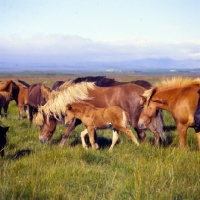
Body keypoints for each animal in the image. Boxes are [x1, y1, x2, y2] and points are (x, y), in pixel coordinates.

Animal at [34, 79, 166, 147]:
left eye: (42, 124)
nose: (41, 140)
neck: (75, 98)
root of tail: (144, 93)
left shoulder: (75, 120)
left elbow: (66, 133)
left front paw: (60, 147)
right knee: (155, 133)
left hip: (137, 121)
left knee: (143, 135)